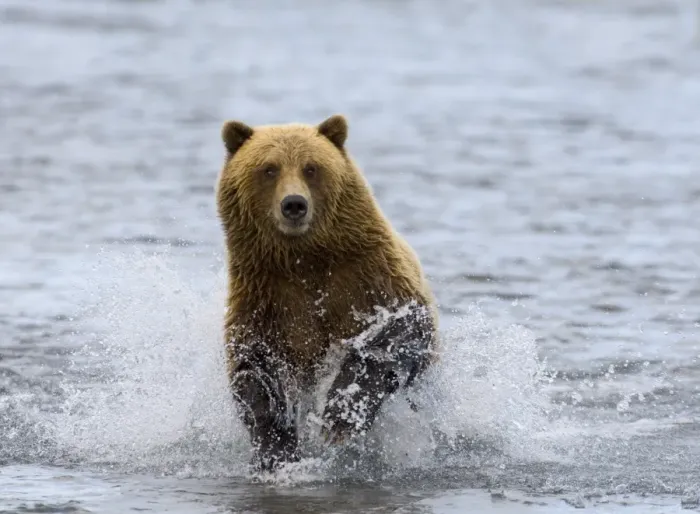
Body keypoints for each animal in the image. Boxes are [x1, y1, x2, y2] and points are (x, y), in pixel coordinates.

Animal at [215, 114, 439, 472]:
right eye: (269, 168)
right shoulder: (264, 295)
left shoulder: (368, 276)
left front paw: (340, 417)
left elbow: (398, 333)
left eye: (311, 167)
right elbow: (254, 367)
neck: (305, 261)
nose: (294, 204)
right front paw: (276, 446)